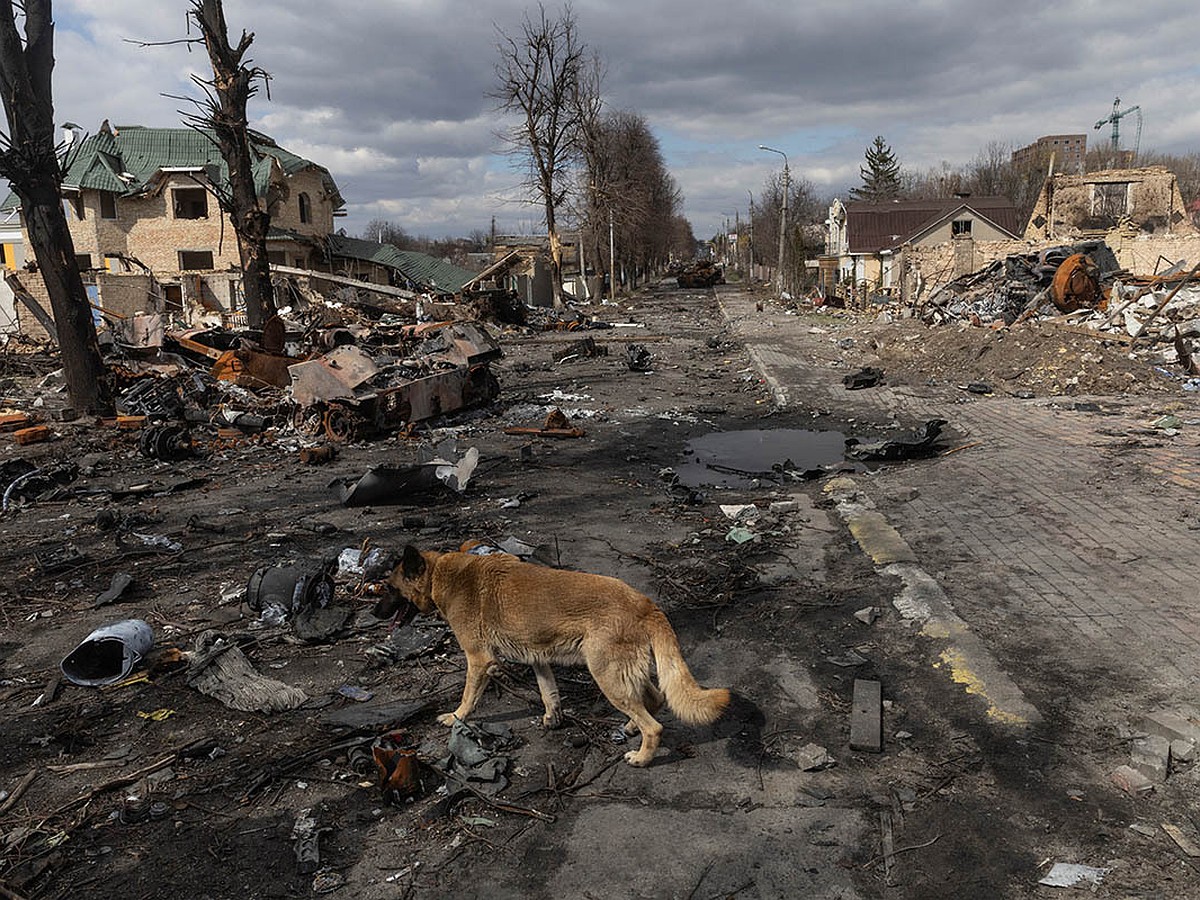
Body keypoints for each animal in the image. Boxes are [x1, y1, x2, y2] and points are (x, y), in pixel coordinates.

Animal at [379, 542, 729, 768]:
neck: (440, 574)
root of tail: (645, 603)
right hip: (620, 673)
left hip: (606, 675)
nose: (373, 612)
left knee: (654, 725)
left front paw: (456, 717)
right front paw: (553, 718)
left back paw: (642, 757)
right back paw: (631, 728)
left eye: (389, 589)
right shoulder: (538, 657)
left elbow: (468, 697)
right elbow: (549, 692)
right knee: (654, 700)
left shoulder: (478, 659)